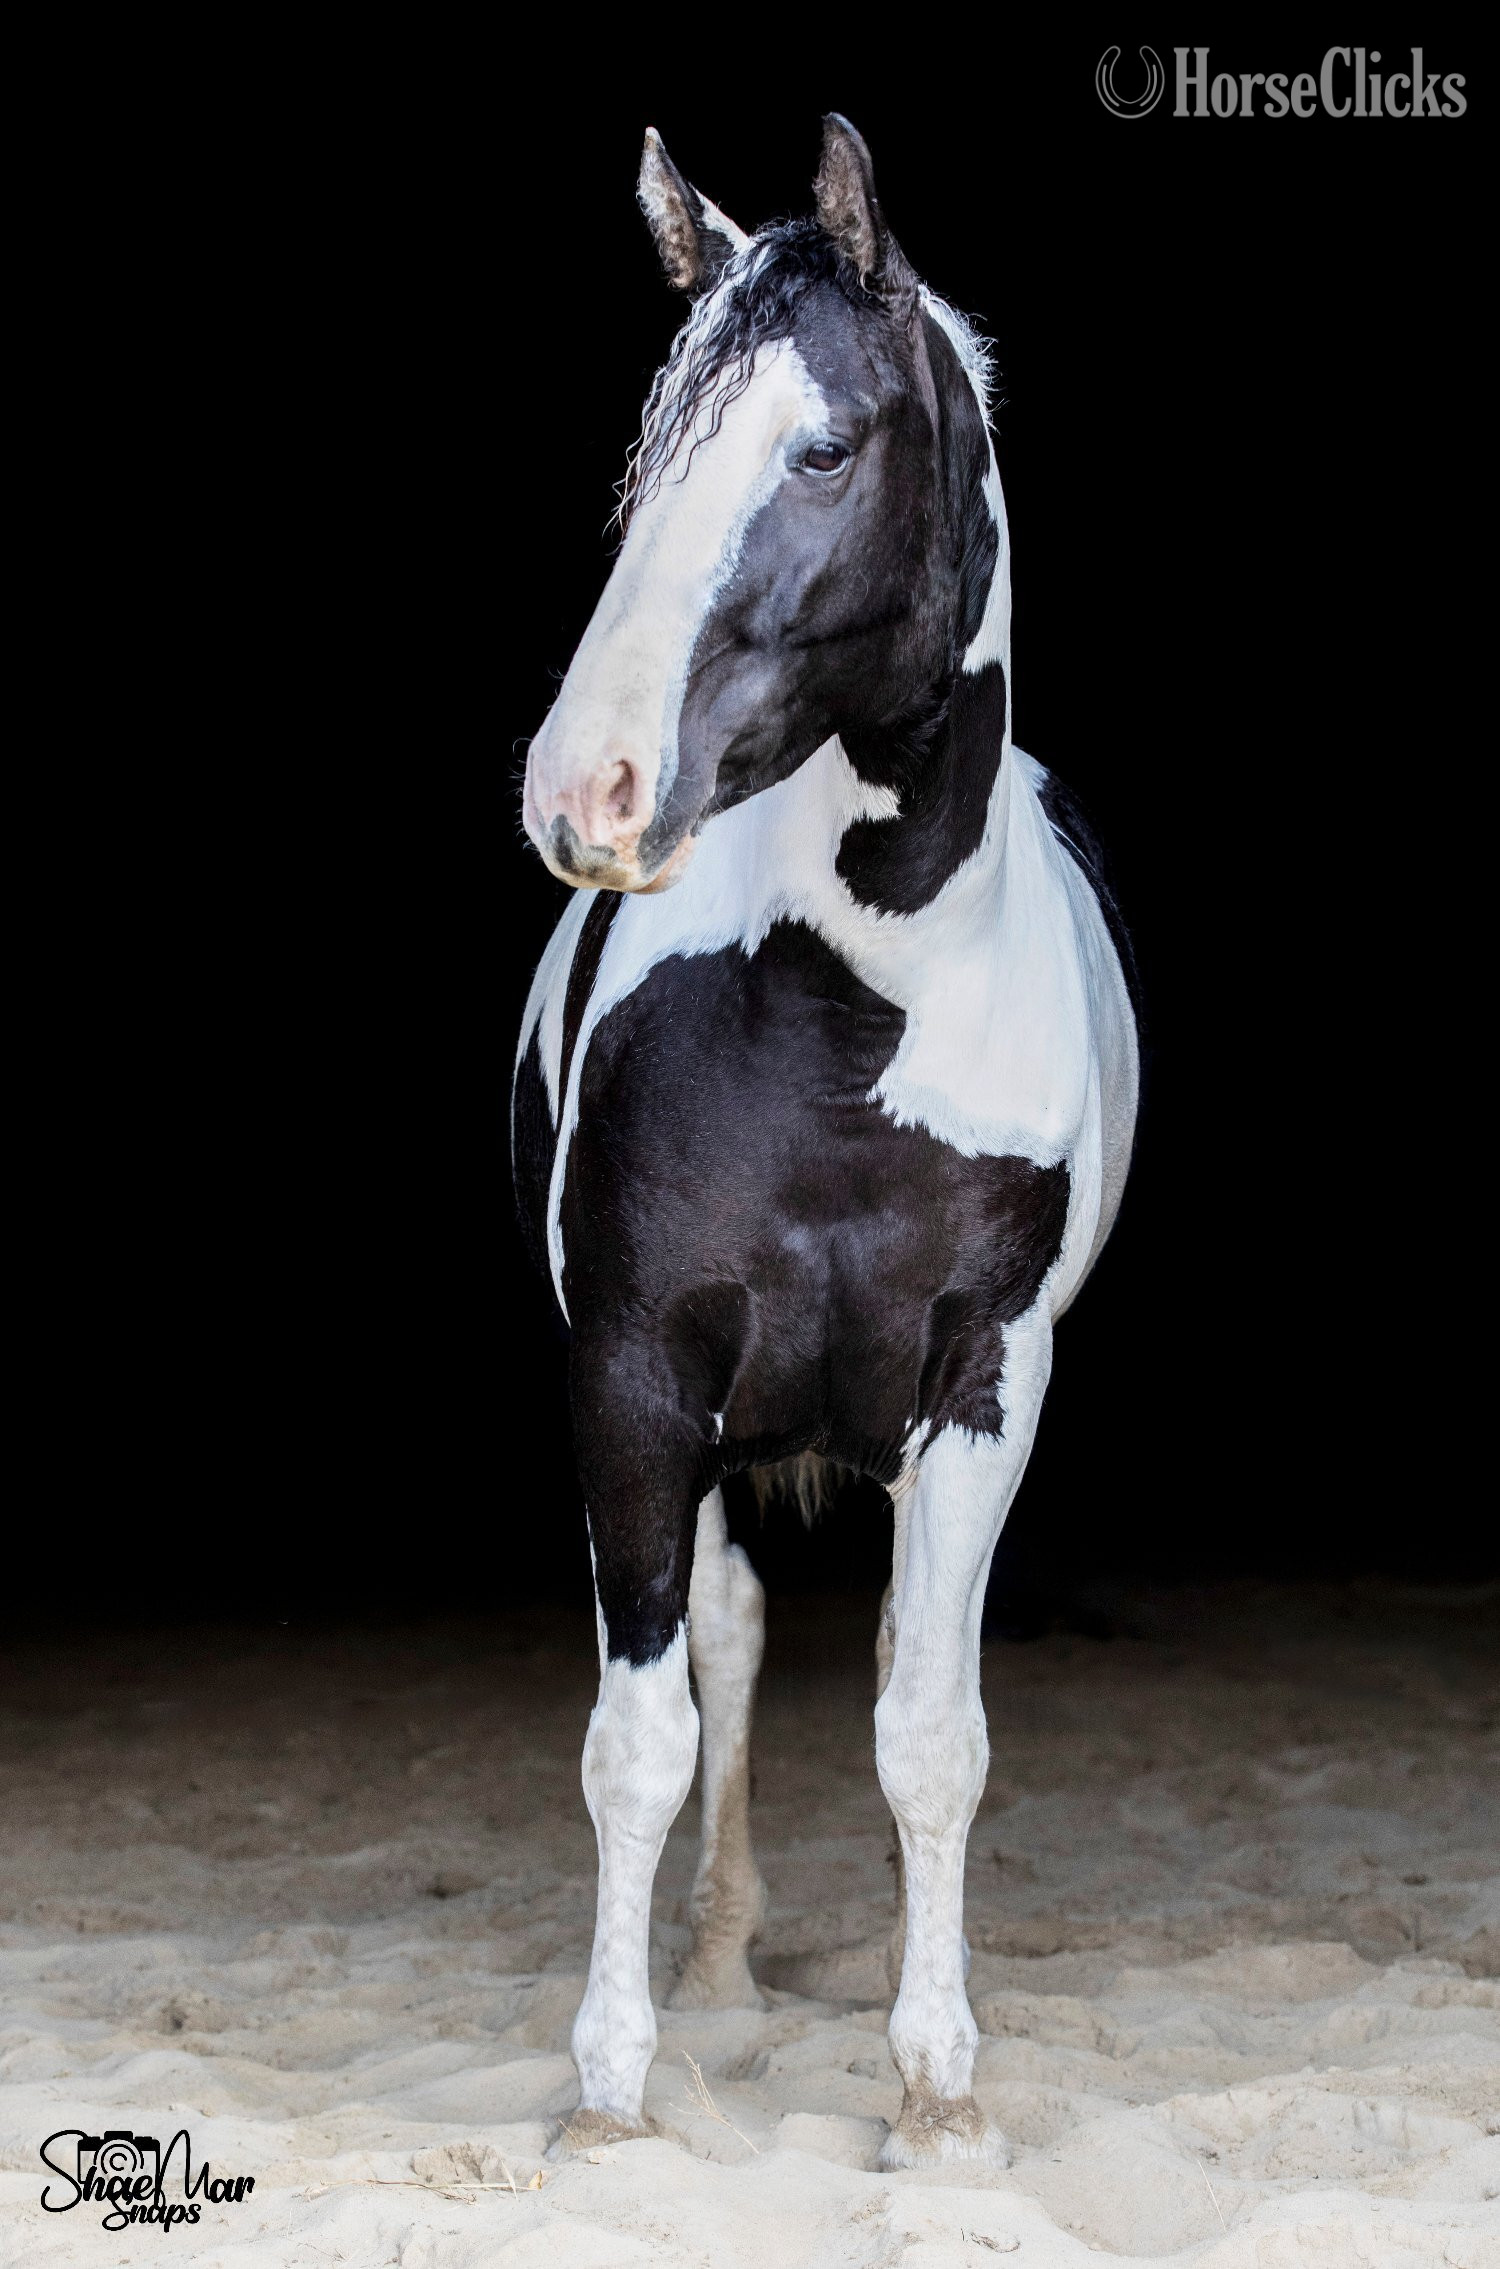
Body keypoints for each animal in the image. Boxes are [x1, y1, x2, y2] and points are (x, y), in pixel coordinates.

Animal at [514, 115, 1139, 2168]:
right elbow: (641, 1735)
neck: (852, 1012)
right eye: (648, 447)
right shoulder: (634, 1371)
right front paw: (610, 2091)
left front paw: (938, 2087)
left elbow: (932, 1734)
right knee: (725, 1645)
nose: (586, 790)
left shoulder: (983, 1381)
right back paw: (717, 1968)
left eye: (823, 448)